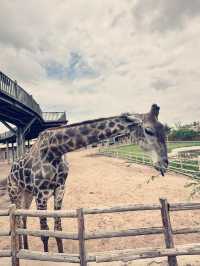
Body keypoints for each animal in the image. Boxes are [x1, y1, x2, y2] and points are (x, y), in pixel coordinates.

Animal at [7, 103, 168, 252]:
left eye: (164, 129)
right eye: (148, 130)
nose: (165, 164)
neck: (55, 150)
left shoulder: (60, 190)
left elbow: (58, 229)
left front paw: (61, 254)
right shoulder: (41, 194)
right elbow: (44, 233)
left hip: (28, 193)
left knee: (23, 218)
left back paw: (25, 248)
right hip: (16, 193)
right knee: (18, 219)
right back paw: (20, 249)